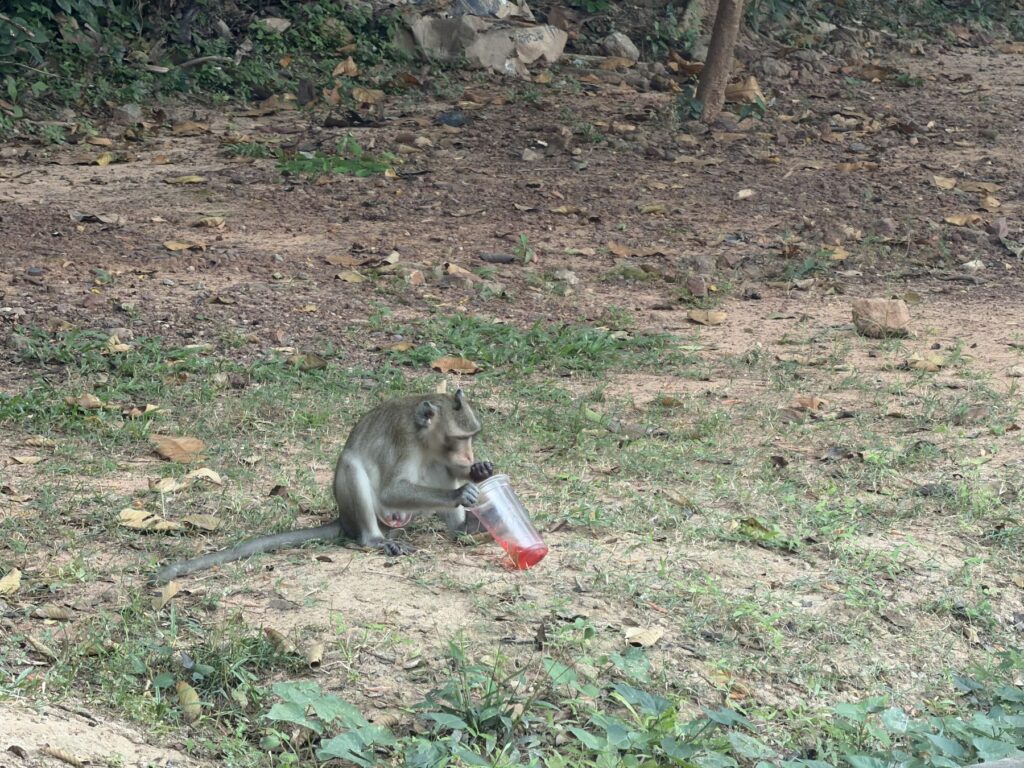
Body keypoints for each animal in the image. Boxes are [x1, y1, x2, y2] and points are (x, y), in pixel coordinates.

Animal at [154, 389, 493, 583]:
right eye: (459, 438)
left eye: (471, 437)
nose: (469, 454)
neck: (425, 439)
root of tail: (344, 520)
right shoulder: (404, 442)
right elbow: (391, 490)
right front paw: (459, 492)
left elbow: (449, 468)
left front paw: (478, 471)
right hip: (377, 514)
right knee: (352, 467)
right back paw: (373, 540)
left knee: (439, 470)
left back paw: (462, 529)